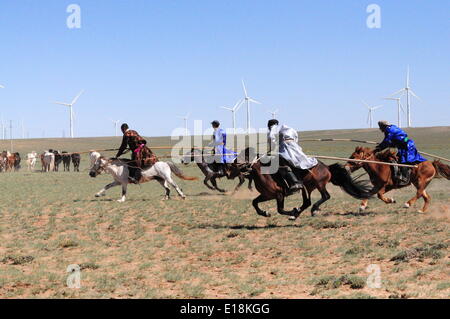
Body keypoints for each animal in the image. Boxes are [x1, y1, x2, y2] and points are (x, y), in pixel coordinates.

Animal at [230, 149, 374, 220]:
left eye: (243, 156)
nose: (232, 164)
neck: (264, 173)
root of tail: (326, 167)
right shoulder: (267, 195)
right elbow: (254, 202)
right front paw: (265, 213)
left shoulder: (279, 194)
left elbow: (280, 209)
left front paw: (291, 211)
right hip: (306, 187)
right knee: (307, 202)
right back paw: (298, 213)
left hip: (319, 184)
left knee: (325, 196)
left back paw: (308, 210)